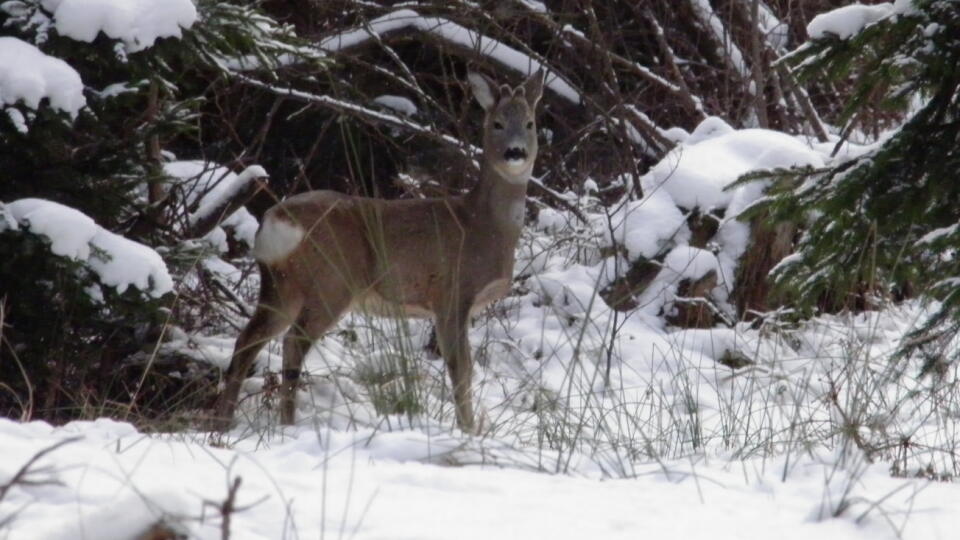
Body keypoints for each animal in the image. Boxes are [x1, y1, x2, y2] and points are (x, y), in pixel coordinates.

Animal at [217, 70, 544, 434]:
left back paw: (224, 423)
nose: (515, 152)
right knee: (292, 343)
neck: (482, 226)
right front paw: (468, 430)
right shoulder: (451, 293)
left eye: (529, 123)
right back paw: (286, 424)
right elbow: (462, 367)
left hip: (281, 284)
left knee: (248, 340)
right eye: (497, 123)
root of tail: (277, 220)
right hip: (331, 282)